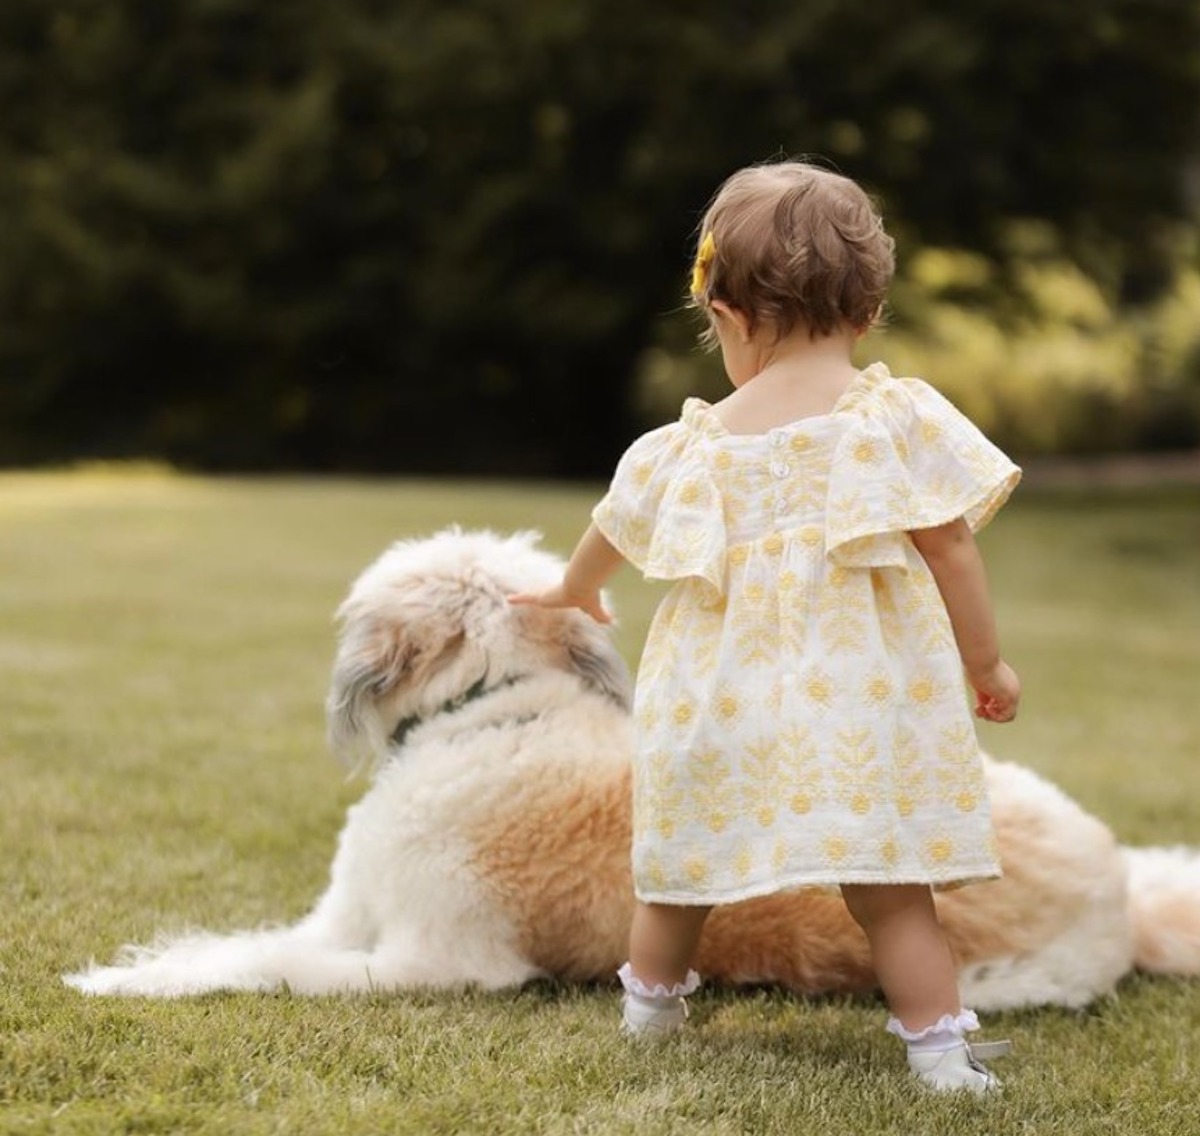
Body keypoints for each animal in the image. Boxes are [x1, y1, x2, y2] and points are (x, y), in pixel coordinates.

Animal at [68, 527, 1200, 1007]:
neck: (495, 716)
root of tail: (1117, 895)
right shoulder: (343, 917)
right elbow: (243, 942)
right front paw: (139, 965)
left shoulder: (438, 962)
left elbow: (276, 965)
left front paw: (128, 981)